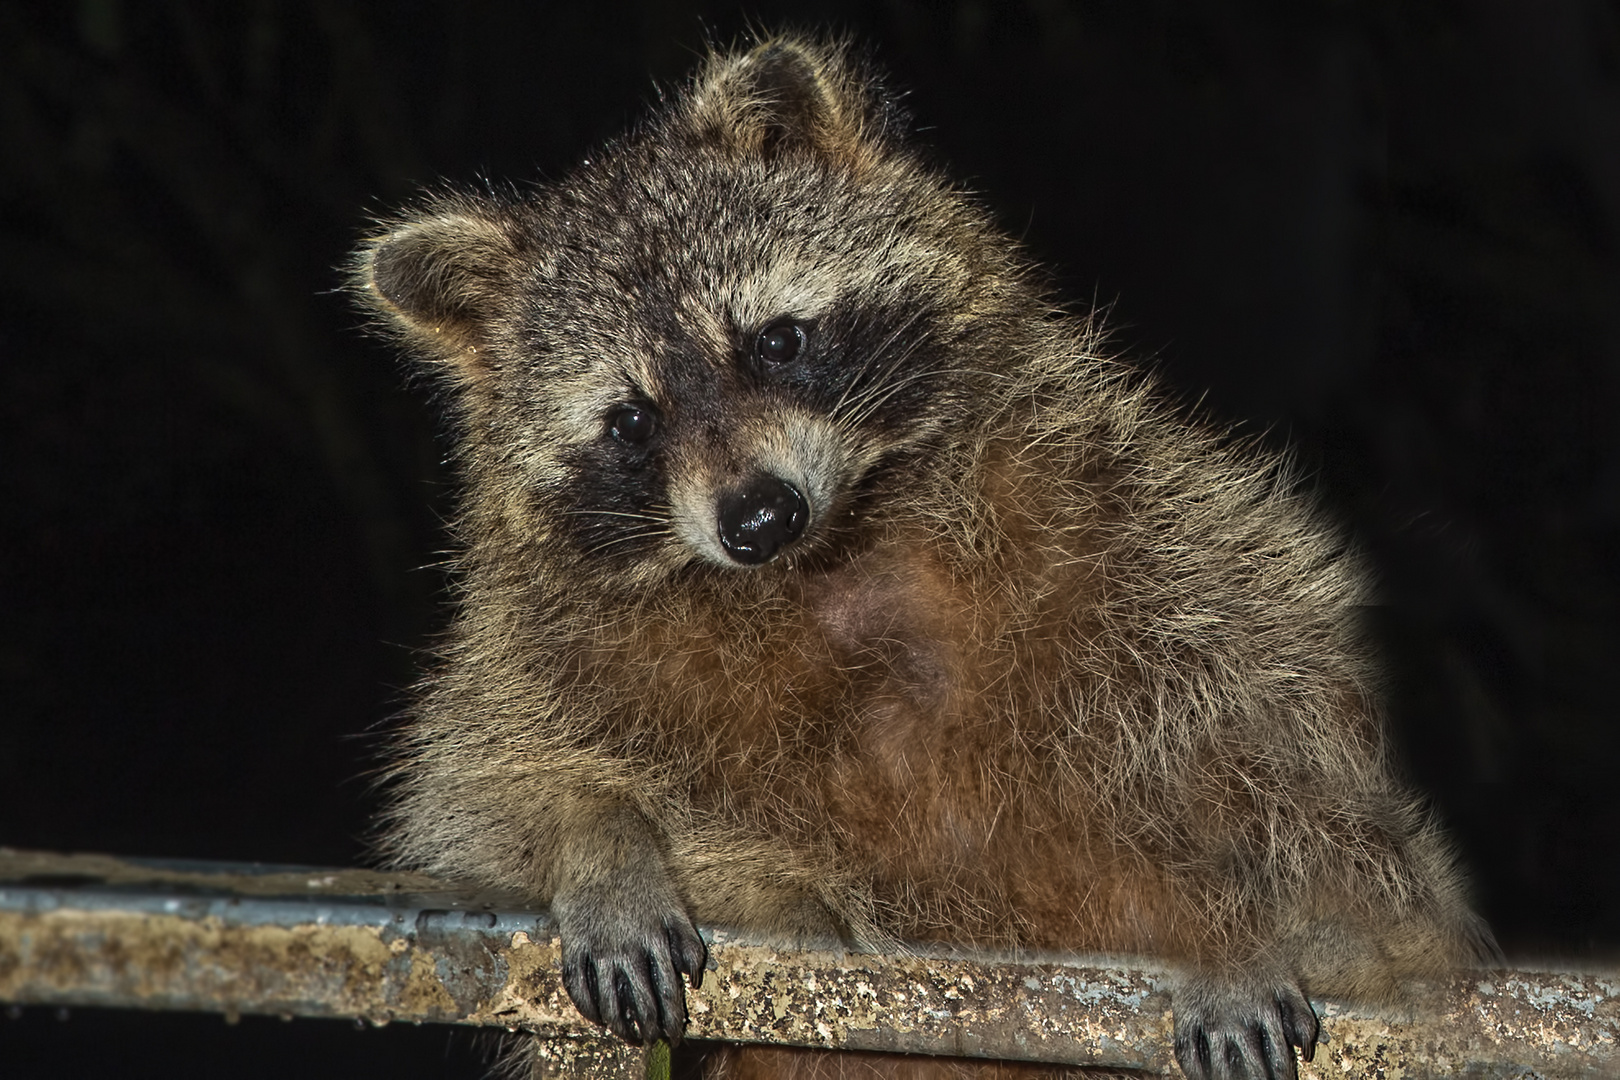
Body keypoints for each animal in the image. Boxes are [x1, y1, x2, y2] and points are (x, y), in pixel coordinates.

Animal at [351, 33, 1490, 1080]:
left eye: (775, 341)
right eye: (631, 421)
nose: (757, 519)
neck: (827, 562)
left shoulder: (1132, 509)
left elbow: (1276, 750)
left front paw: (1229, 927)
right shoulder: (538, 633)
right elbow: (478, 786)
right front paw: (600, 842)